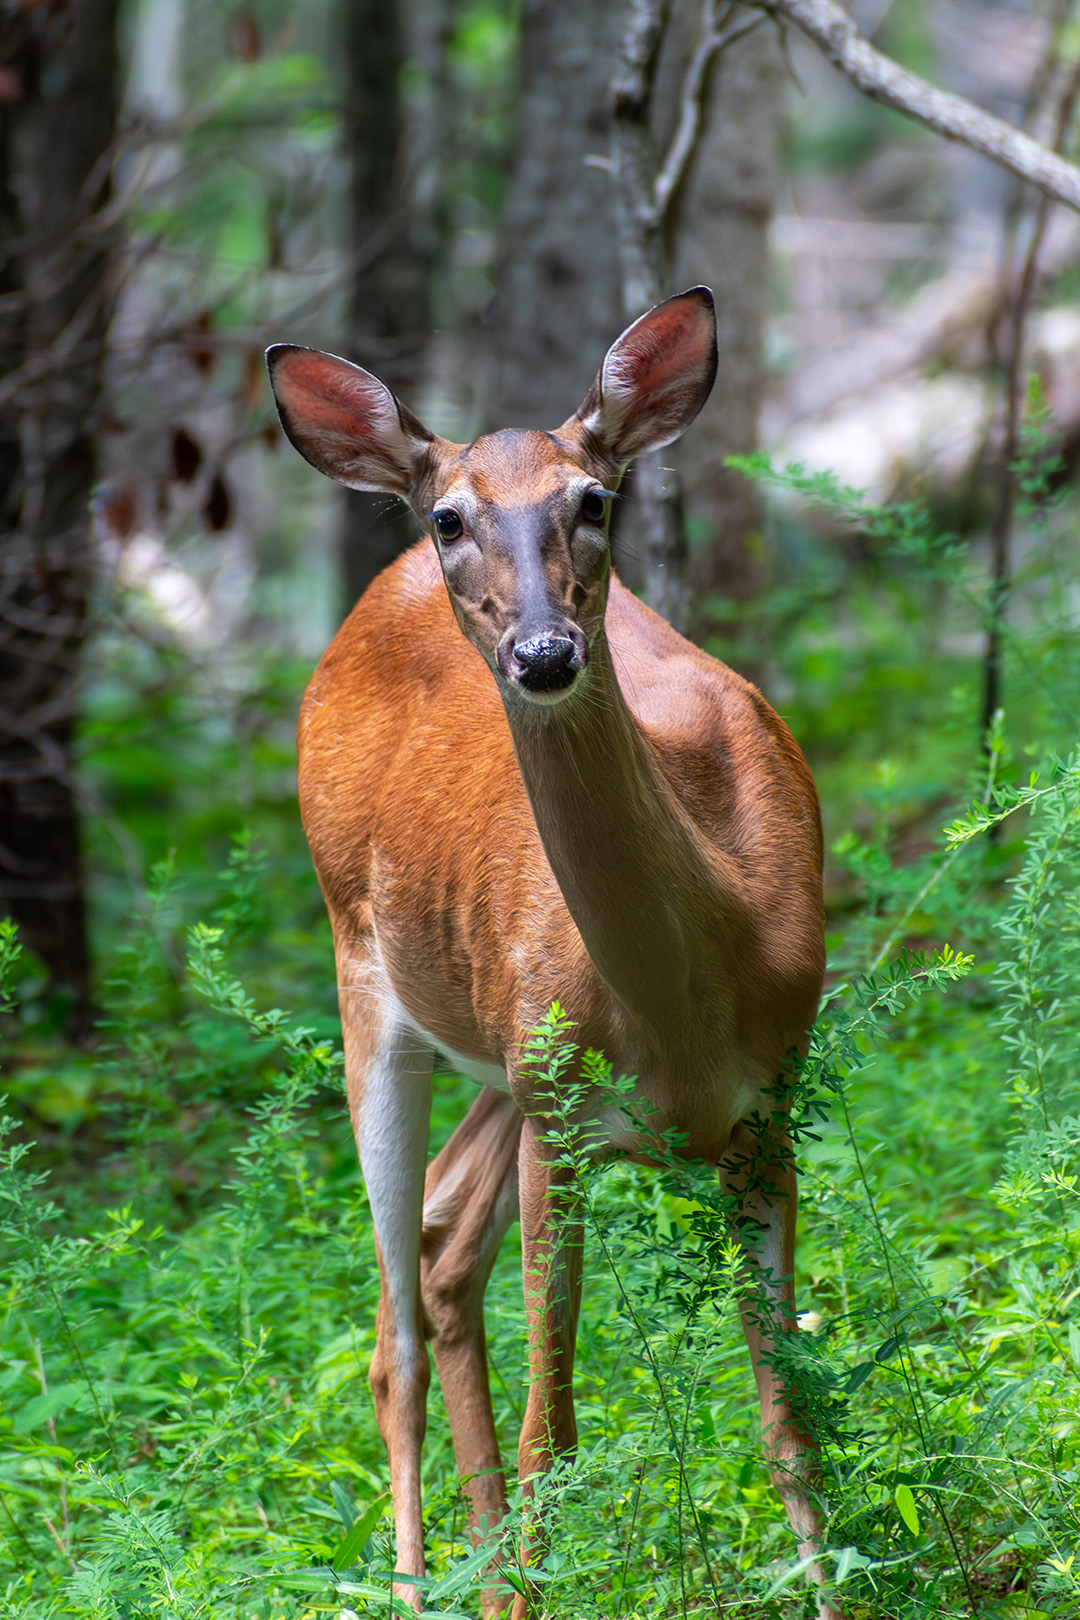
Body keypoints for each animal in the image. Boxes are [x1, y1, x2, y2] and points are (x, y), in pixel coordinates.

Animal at [266, 287, 836, 1618]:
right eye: (452, 518)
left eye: (594, 499)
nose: (540, 654)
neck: (688, 1001)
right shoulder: (563, 1119)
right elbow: (553, 1434)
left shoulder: (770, 1104)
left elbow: (789, 1415)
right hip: (370, 983)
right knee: (394, 1338)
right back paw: (424, 1585)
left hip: (500, 1052)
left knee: (439, 1244)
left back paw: (482, 1586)